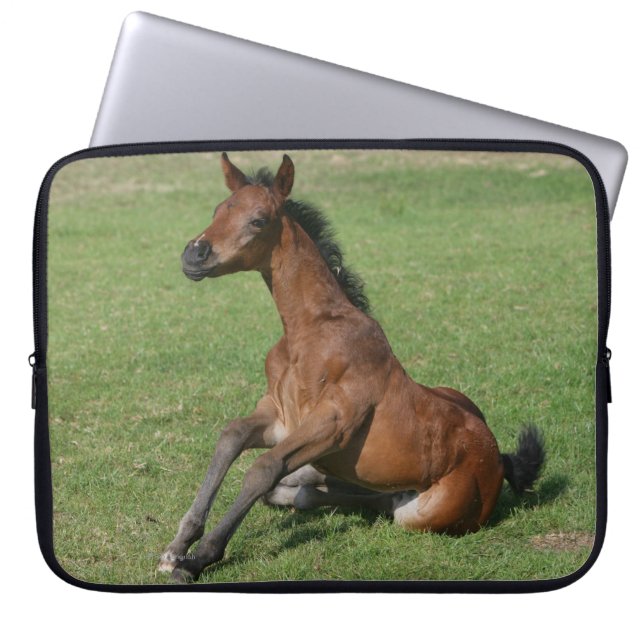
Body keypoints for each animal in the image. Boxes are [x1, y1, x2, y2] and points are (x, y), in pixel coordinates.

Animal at [159, 152, 545, 583]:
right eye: (218, 210)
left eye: (258, 220)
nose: (194, 254)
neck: (308, 332)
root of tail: (496, 457)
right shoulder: (278, 417)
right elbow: (230, 437)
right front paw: (177, 546)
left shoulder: (334, 422)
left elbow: (263, 467)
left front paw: (198, 559)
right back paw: (302, 484)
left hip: (419, 514)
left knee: (380, 504)